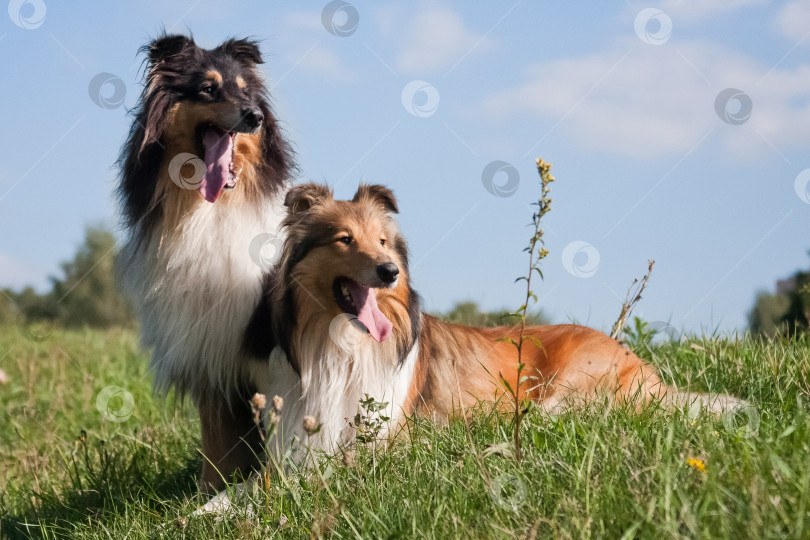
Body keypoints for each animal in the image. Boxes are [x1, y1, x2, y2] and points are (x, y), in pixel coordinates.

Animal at [113, 33, 290, 490]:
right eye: (208, 88)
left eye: (246, 91)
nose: (254, 117)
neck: (206, 209)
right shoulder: (209, 354)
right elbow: (217, 444)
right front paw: (209, 493)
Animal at [251, 184, 744, 458]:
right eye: (345, 239)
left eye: (384, 241)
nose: (389, 271)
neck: (343, 346)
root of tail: (644, 367)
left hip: (569, 386)